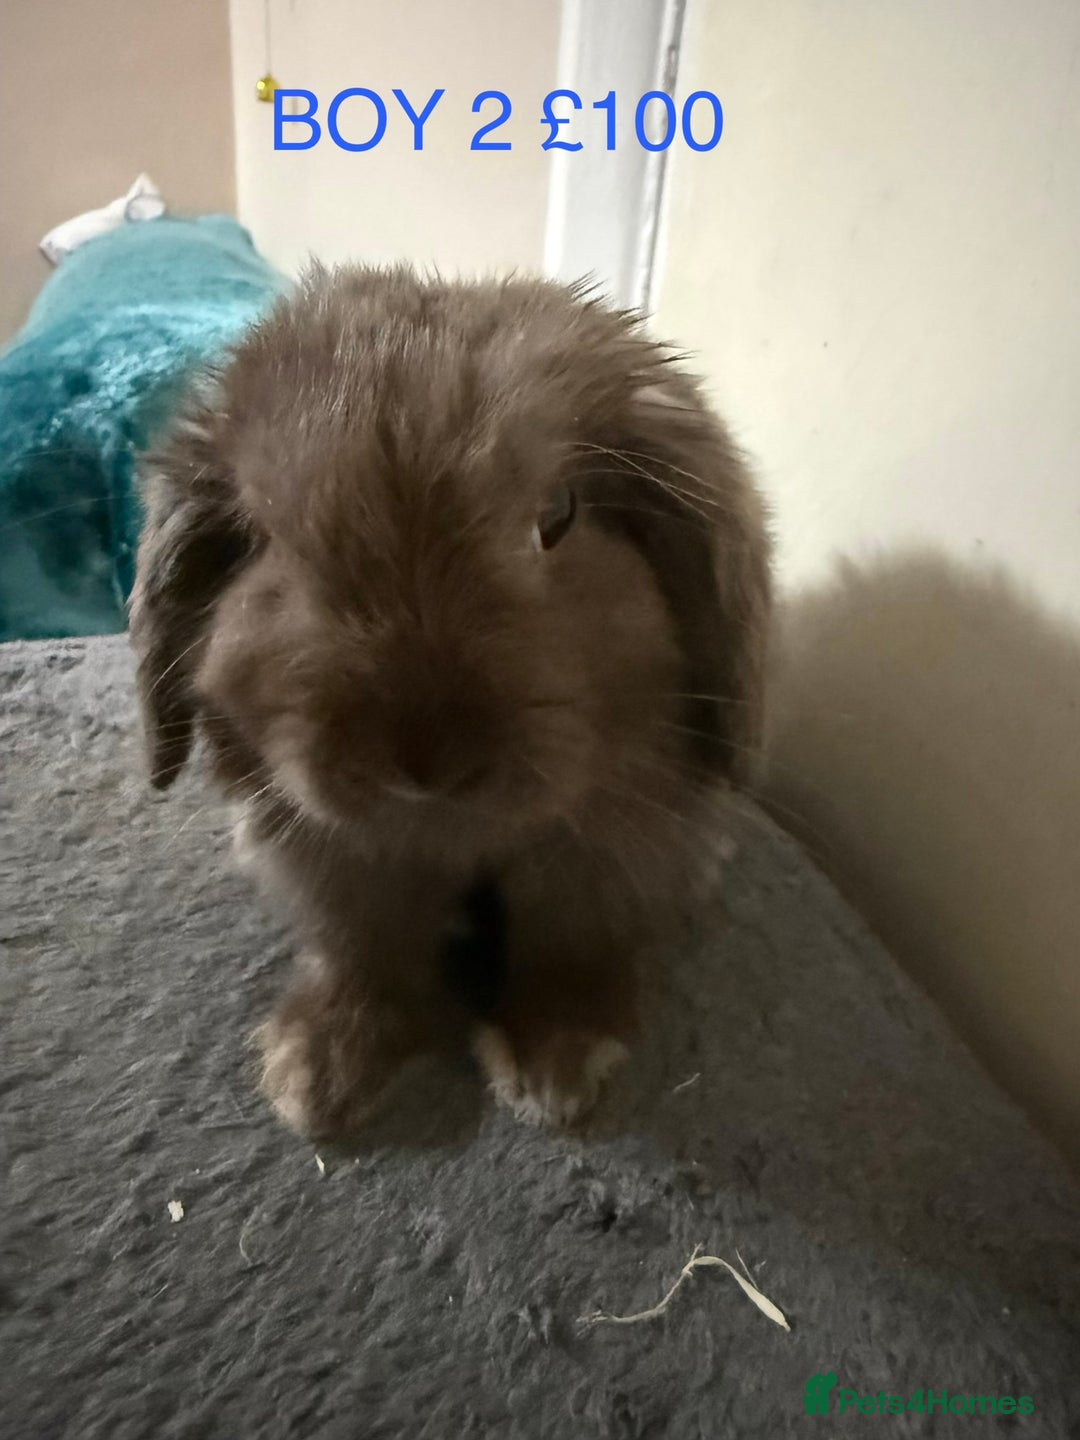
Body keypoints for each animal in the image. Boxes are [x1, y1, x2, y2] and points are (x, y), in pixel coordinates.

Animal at [129, 264, 771, 1140]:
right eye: (268, 544)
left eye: (558, 515)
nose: (422, 757)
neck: (446, 828)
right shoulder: (336, 863)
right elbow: (366, 952)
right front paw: (316, 1076)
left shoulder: (606, 850)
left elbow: (568, 944)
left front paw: (553, 1070)